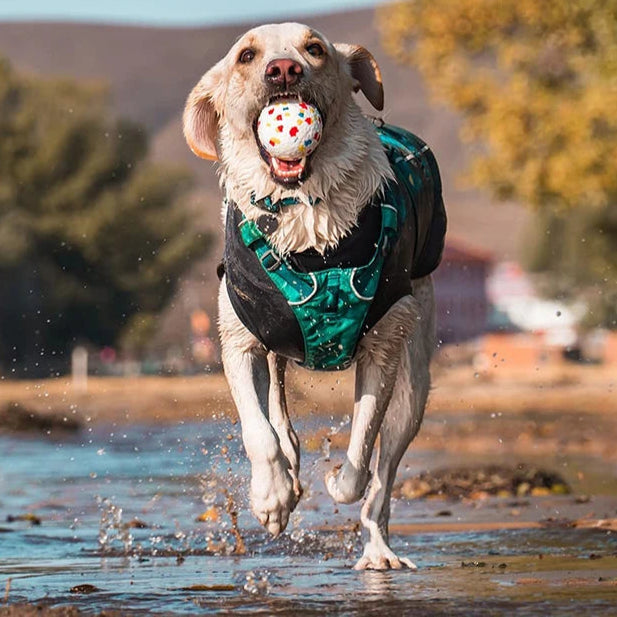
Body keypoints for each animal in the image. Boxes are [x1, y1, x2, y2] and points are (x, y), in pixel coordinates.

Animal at [180, 24, 446, 572]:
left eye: (315, 49)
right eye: (246, 55)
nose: (283, 70)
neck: (305, 216)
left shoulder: (383, 345)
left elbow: (362, 455)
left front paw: (333, 480)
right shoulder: (239, 337)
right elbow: (257, 430)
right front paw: (272, 497)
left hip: (416, 377)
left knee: (385, 473)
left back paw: (379, 549)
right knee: (277, 405)